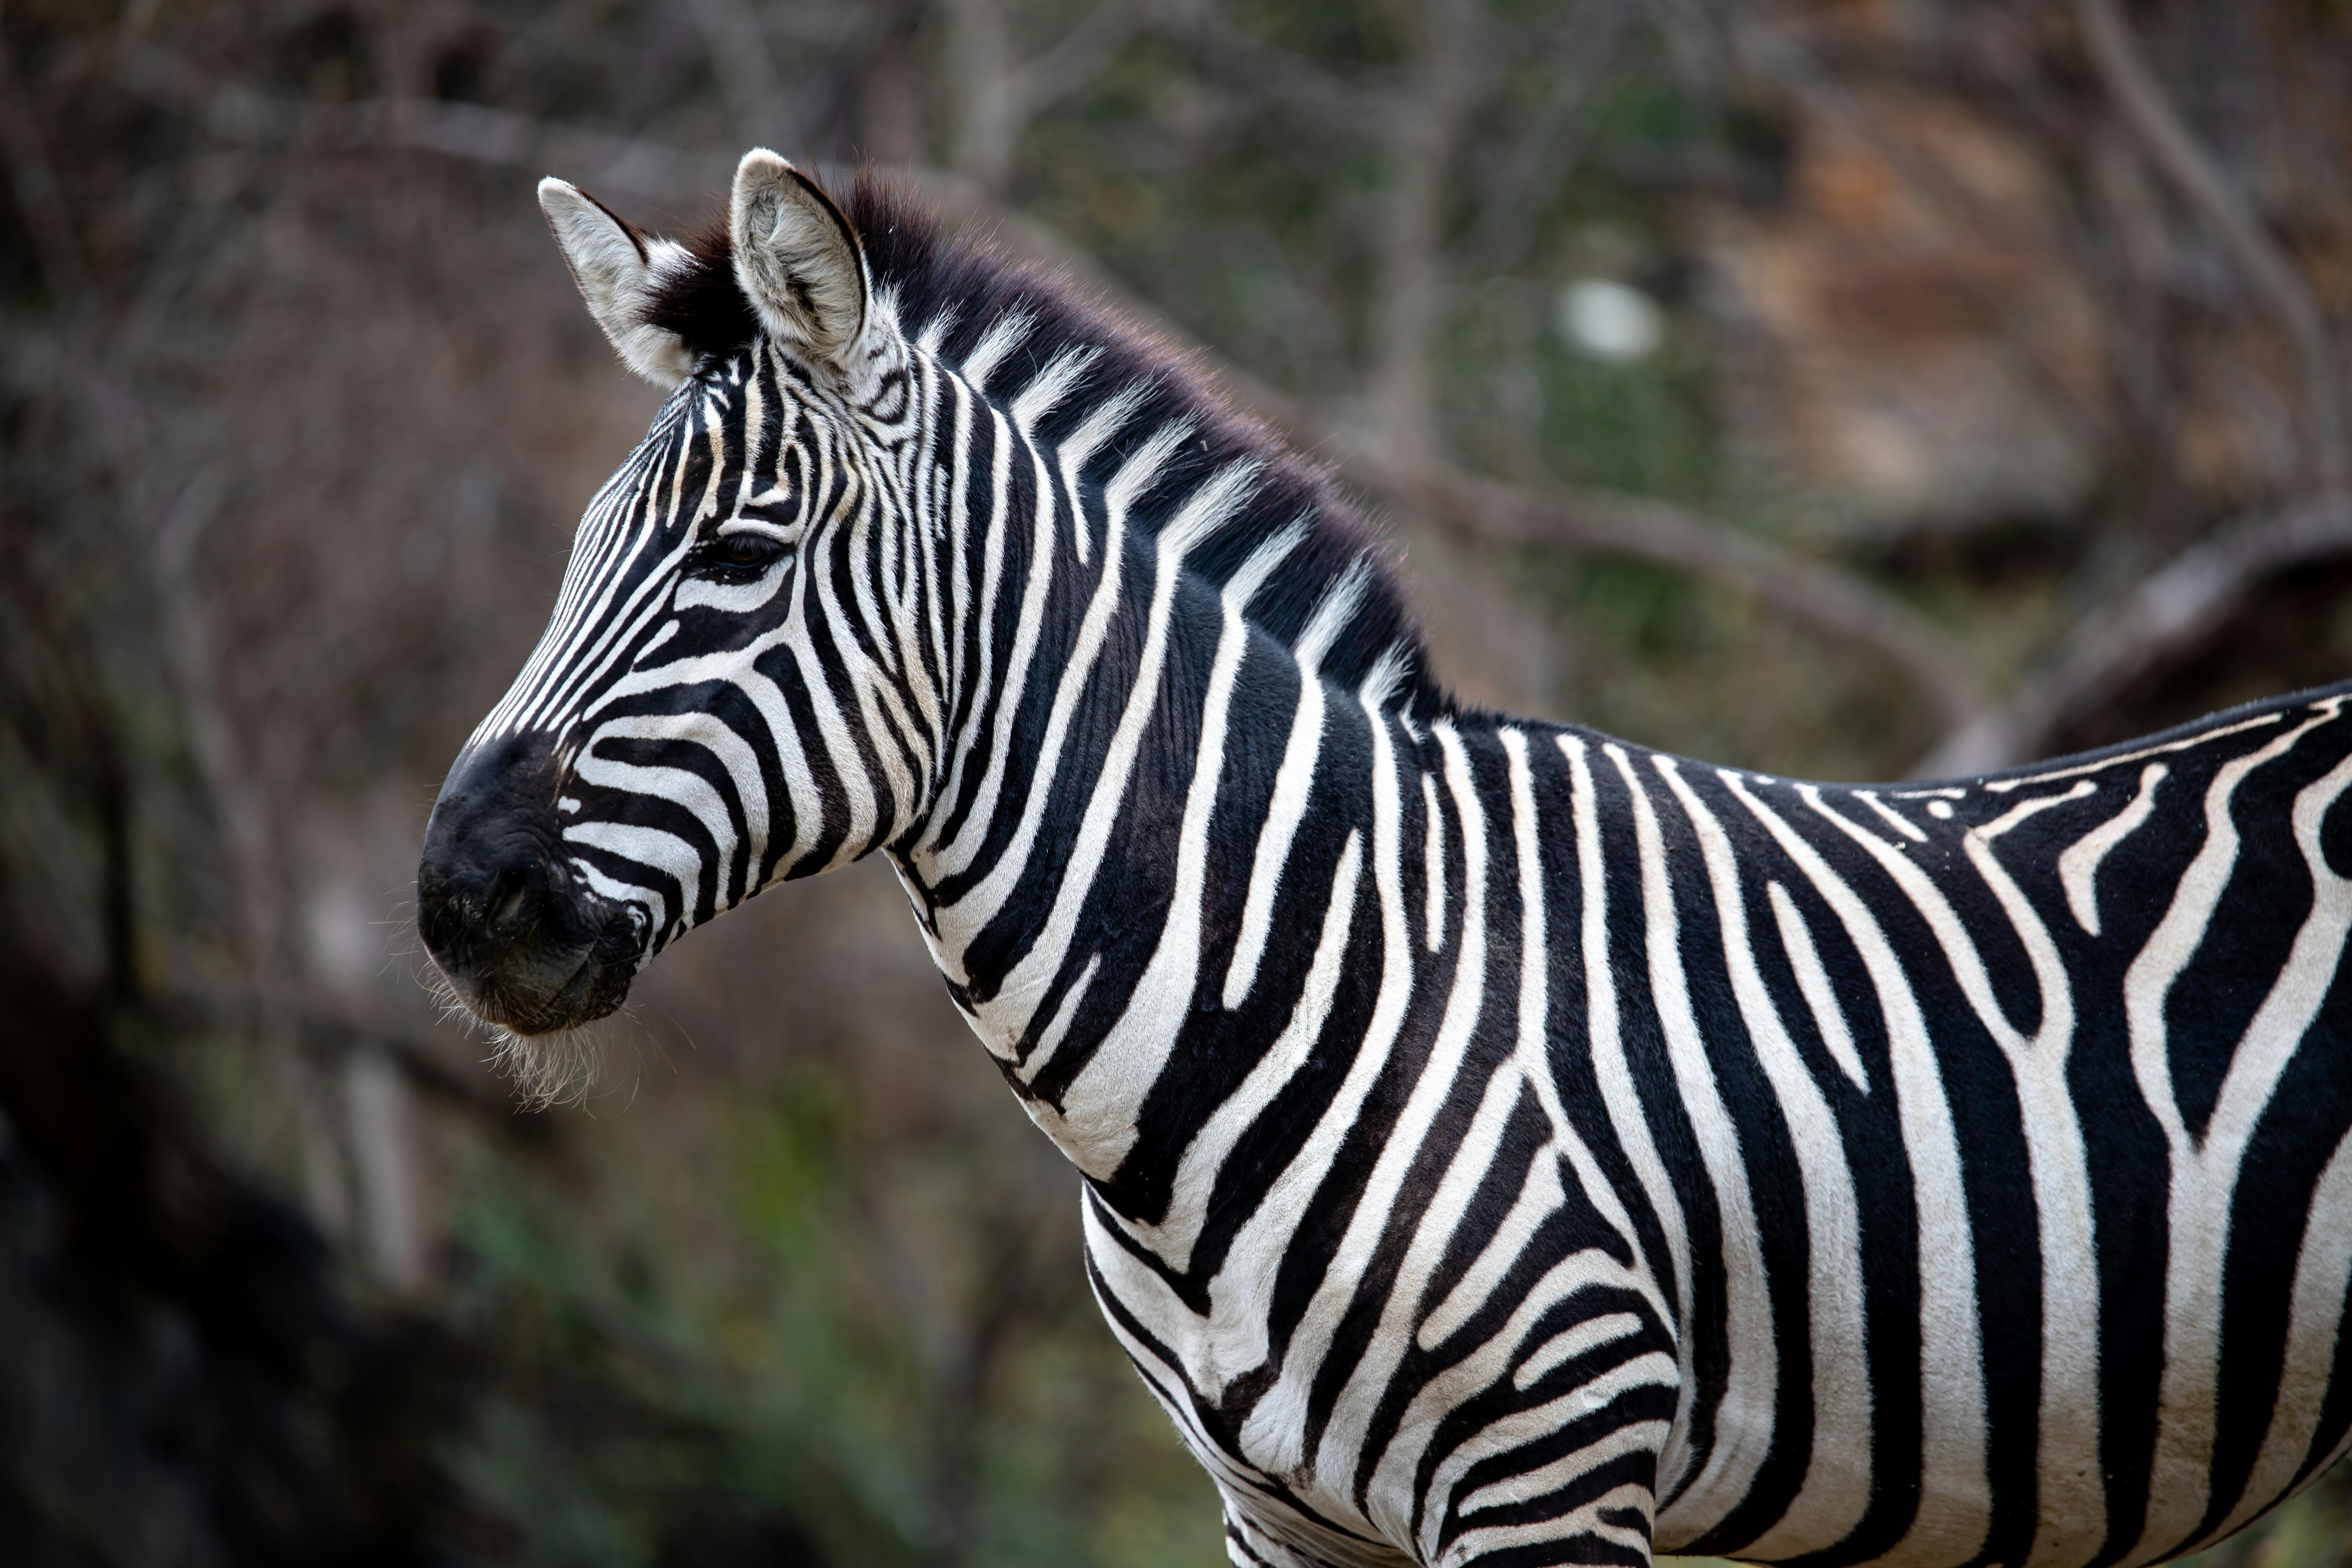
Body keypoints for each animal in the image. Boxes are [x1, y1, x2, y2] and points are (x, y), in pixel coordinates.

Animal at [418, 150, 2352, 1568]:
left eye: (737, 559)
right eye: (578, 547)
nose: (455, 903)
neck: (1296, 975)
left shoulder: (1555, 1478)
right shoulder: (1280, 1522)